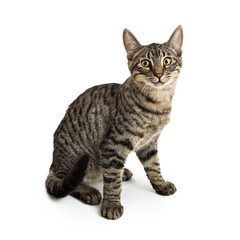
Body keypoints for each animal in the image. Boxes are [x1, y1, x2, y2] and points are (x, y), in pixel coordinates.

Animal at [45, 25, 184, 219]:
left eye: (167, 61)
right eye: (145, 63)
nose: (159, 74)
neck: (158, 102)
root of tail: (54, 162)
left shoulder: (149, 143)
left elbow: (154, 167)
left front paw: (161, 185)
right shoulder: (113, 144)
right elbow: (112, 181)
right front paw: (111, 204)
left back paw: (123, 172)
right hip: (80, 157)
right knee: (65, 179)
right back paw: (89, 191)